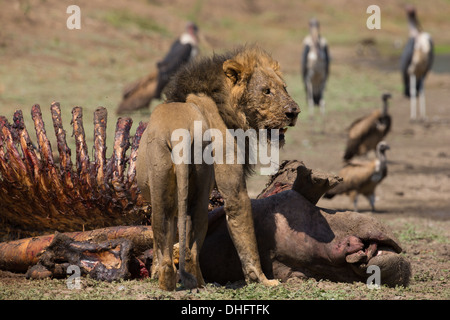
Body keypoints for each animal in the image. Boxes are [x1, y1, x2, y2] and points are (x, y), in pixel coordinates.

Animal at [137, 45, 298, 290]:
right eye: (266, 91)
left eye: (284, 88)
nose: (294, 112)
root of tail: (177, 133)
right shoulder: (233, 185)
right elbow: (244, 229)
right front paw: (261, 279)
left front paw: (153, 271)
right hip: (201, 191)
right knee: (191, 251)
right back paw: (200, 283)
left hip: (161, 181)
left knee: (163, 229)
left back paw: (166, 278)